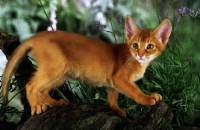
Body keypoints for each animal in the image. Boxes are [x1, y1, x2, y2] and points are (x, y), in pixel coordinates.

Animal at [1, 16, 171, 117]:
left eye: (150, 46)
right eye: (135, 45)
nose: (140, 54)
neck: (133, 59)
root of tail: (35, 37)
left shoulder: (112, 83)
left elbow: (112, 99)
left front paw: (118, 111)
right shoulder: (120, 79)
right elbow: (135, 92)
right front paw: (148, 98)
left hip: (62, 74)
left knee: (42, 90)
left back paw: (55, 103)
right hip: (56, 67)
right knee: (31, 85)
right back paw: (36, 106)